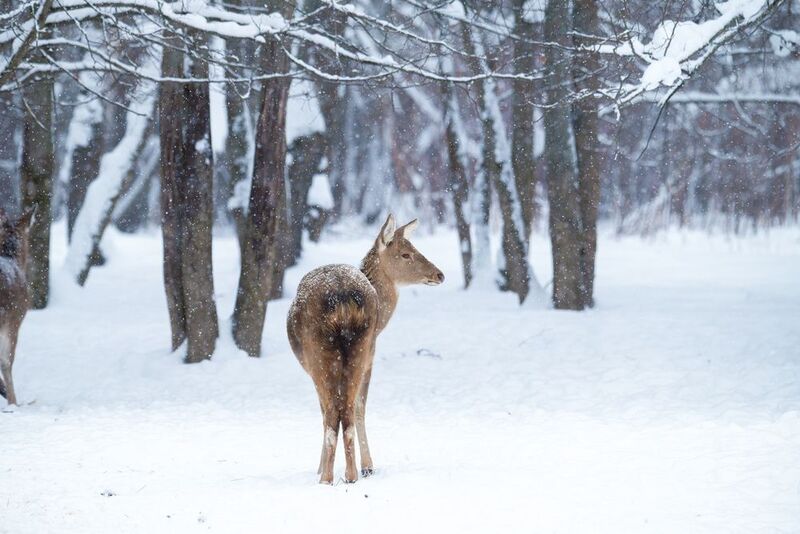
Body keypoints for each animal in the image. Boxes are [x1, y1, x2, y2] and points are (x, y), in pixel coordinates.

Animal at [287, 214, 444, 484]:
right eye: (406, 253)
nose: (439, 274)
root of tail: (342, 299)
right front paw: (366, 467)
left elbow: (333, 411)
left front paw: (358, 466)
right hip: (358, 349)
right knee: (346, 409)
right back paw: (348, 475)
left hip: (324, 353)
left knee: (336, 412)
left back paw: (330, 477)